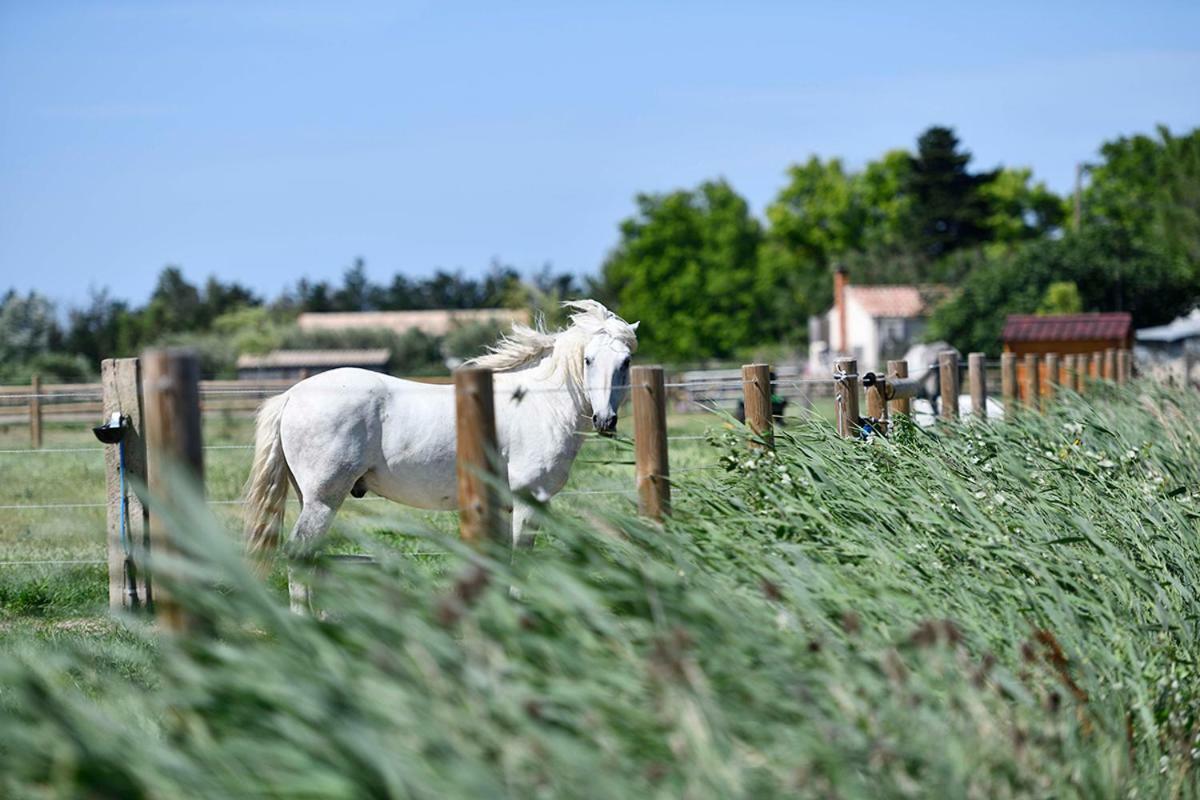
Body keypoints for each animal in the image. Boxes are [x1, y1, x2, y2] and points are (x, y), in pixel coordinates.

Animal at [241, 302, 638, 599]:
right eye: (588, 360)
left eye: (626, 362)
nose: (605, 420)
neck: (538, 403)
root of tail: (292, 395)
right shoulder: (530, 500)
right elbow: (520, 562)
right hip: (324, 500)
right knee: (298, 556)